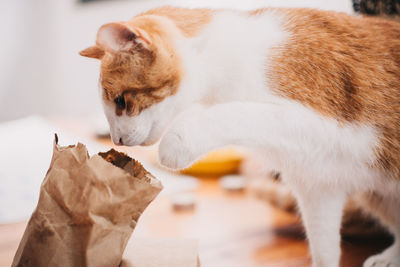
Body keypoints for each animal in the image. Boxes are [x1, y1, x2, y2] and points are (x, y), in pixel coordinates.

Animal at [80, 5, 400, 267]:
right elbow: (324, 250)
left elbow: (235, 113)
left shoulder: (322, 125)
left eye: (121, 101)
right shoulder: (317, 185)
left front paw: (176, 145)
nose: (117, 140)